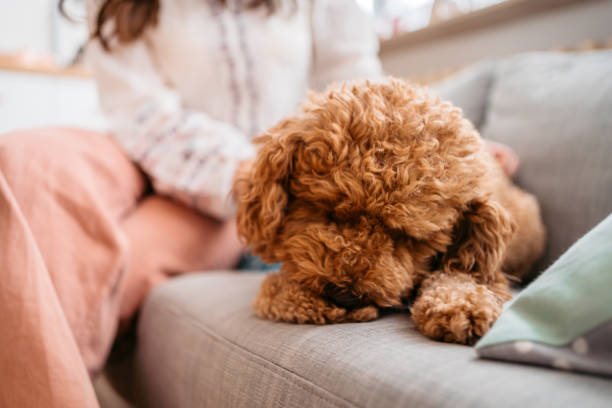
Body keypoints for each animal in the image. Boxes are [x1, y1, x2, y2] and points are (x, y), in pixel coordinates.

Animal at [235, 79, 544, 344]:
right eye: (330, 210)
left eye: (407, 237)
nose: (344, 296)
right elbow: (273, 293)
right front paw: (304, 298)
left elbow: (460, 276)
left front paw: (461, 305)